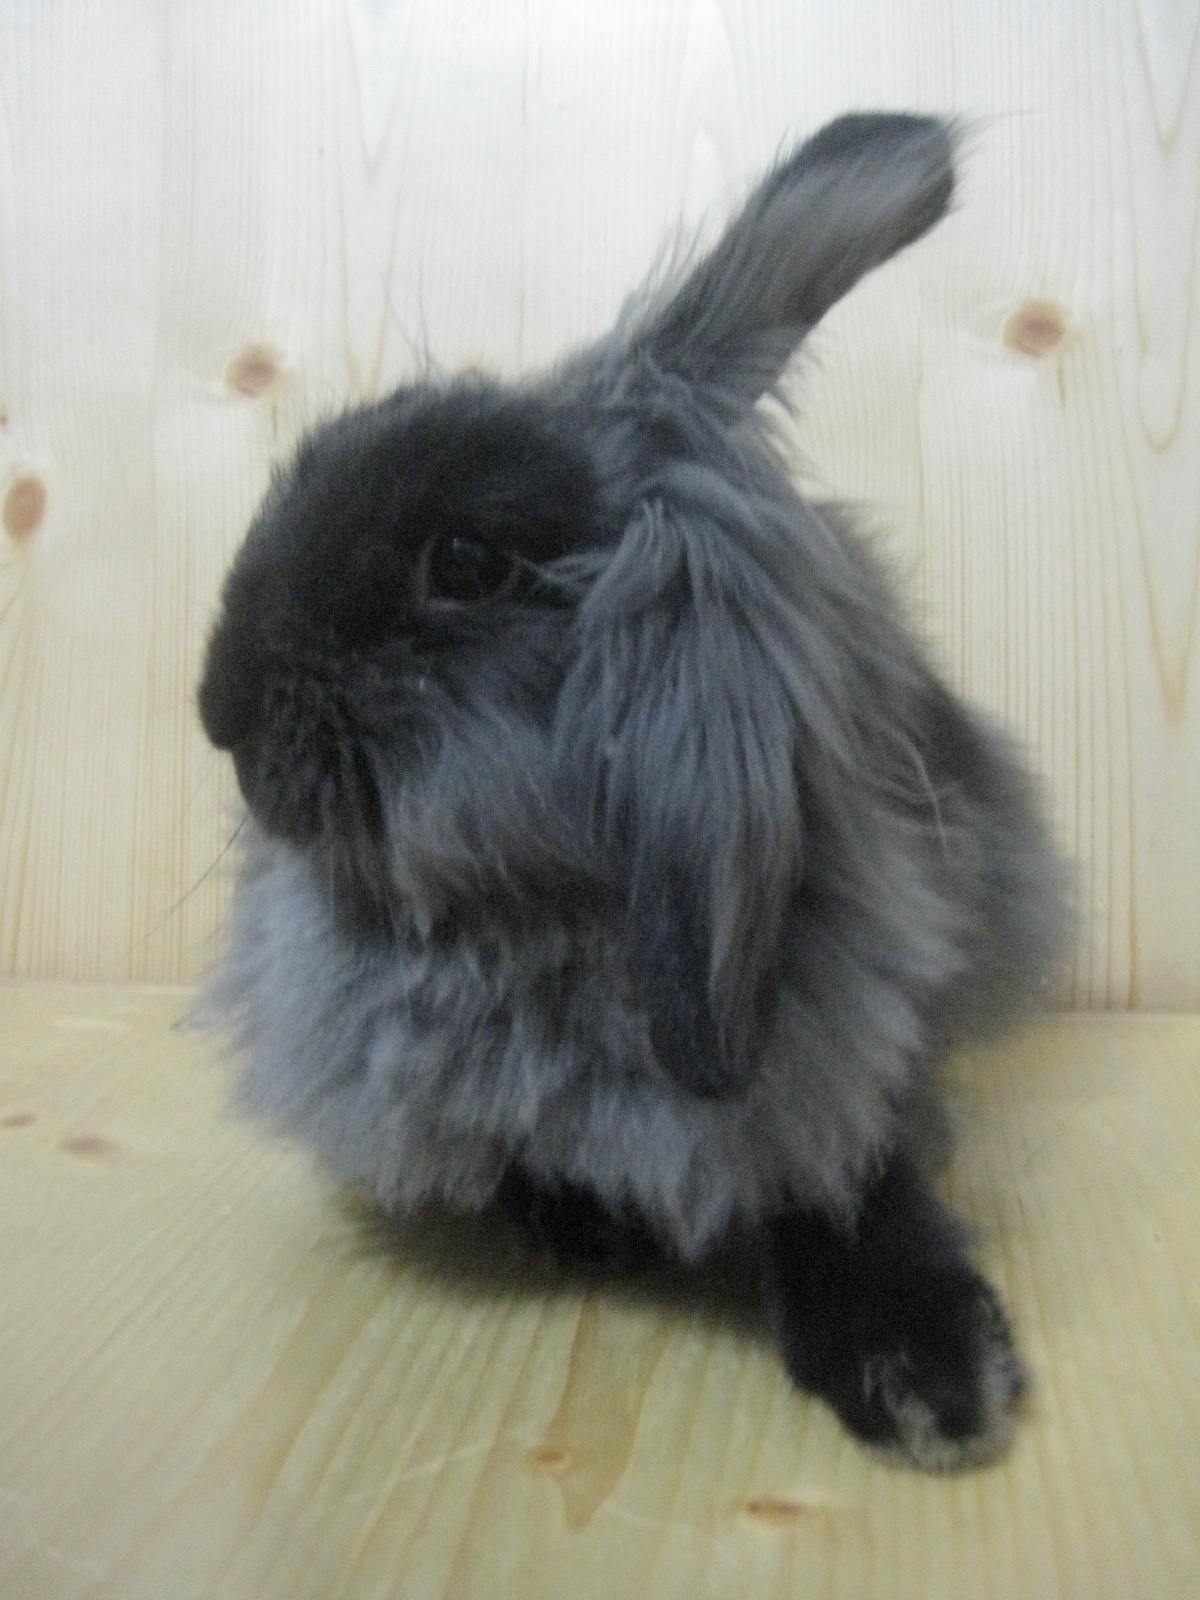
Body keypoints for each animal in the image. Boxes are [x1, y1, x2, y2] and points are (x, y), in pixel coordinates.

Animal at [197, 112, 1070, 1471]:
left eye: (465, 563)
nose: (216, 709)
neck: (540, 933)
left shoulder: (857, 1044)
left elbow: (851, 1185)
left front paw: (935, 1375)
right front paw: (579, 1221)